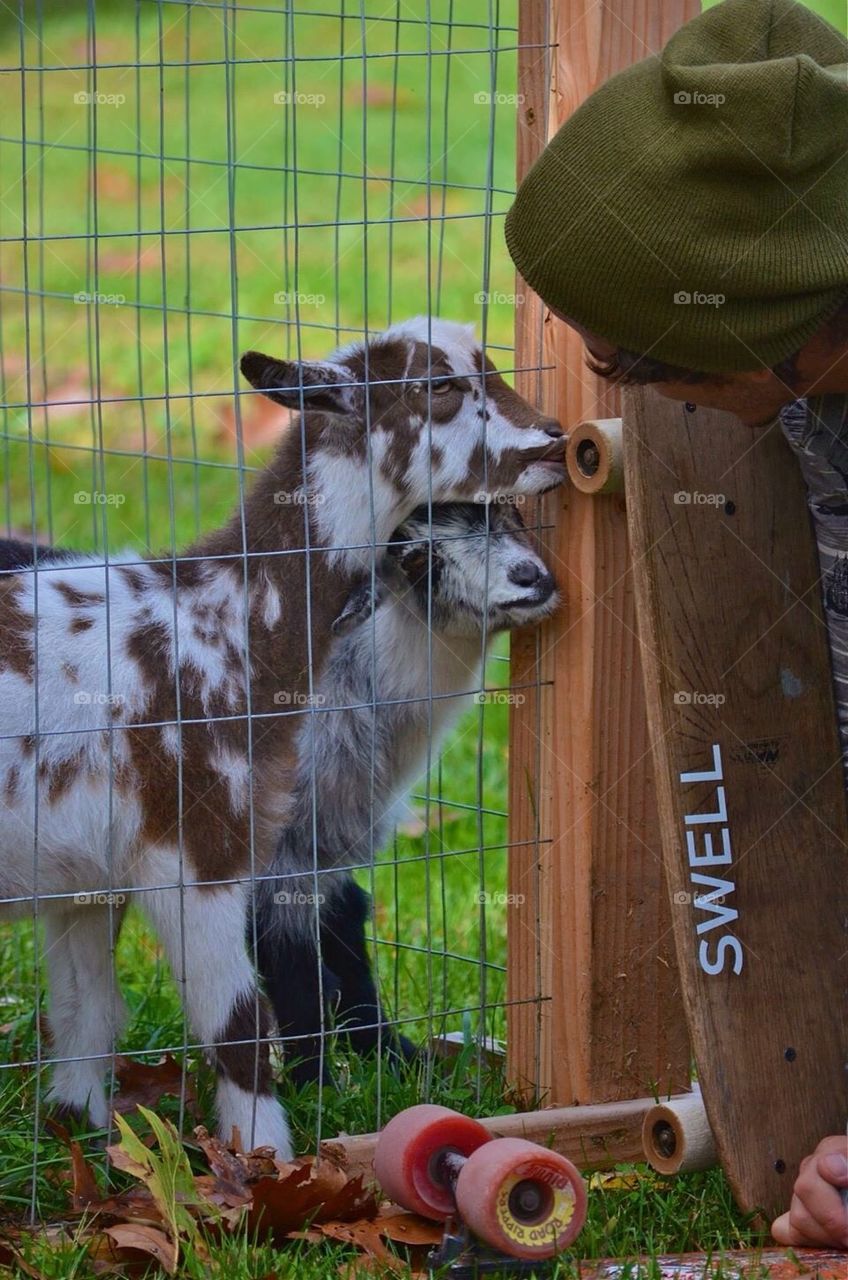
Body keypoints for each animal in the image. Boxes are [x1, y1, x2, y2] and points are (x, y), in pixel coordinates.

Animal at [253, 501, 559, 1084]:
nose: (528, 577)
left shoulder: (330, 848)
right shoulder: (275, 858)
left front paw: (397, 1062)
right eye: (416, 560)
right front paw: (315, 1088)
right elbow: (293, 965)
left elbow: (346, 938)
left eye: (502, 510)